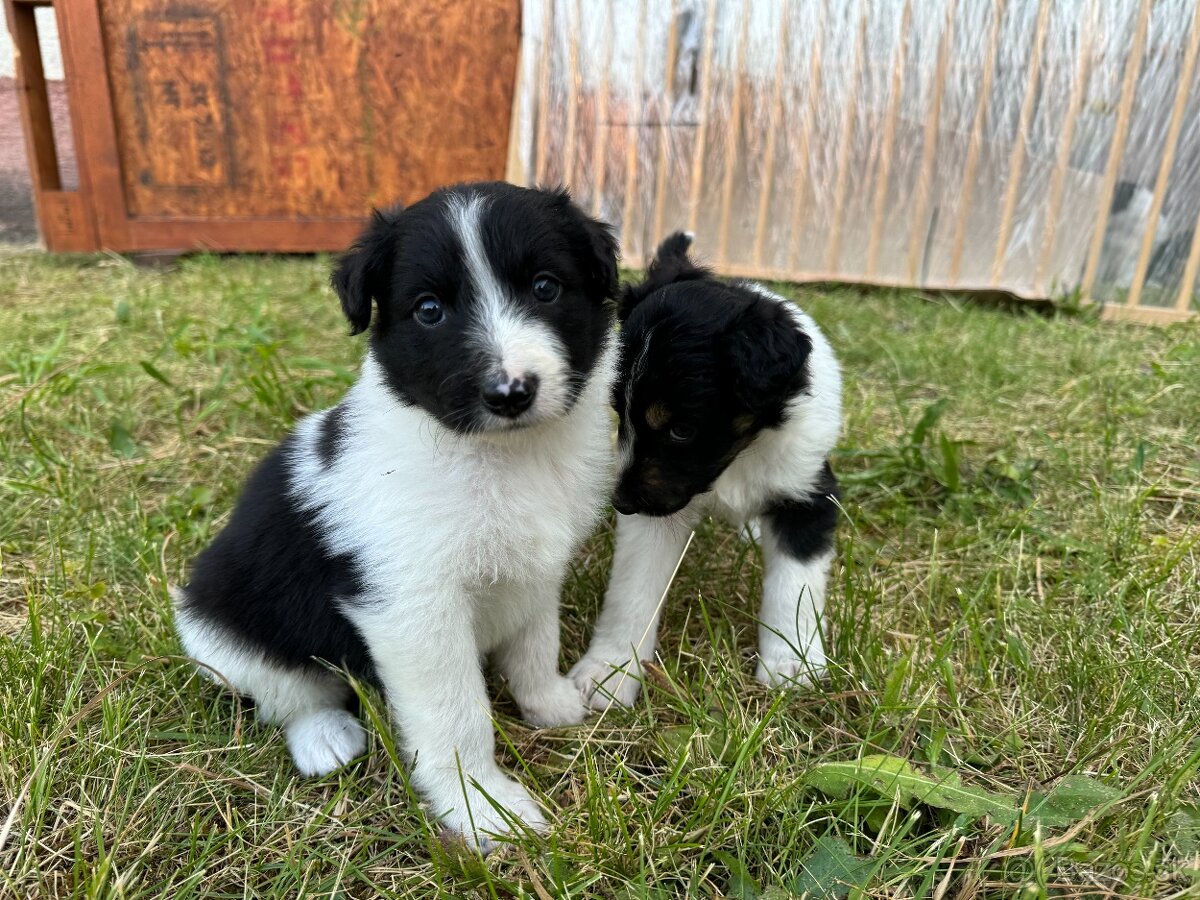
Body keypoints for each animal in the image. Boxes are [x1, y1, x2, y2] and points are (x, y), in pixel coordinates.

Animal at [175, 181, 619, 854]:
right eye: (429, 310)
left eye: (545, 287)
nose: (510, 392)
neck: (502, 457)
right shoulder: (411, 608)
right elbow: (458, 716)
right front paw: (482, 807)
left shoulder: (537, 570)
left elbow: (534, 643)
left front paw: (550, 704)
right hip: (224, 637)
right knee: (288, 695)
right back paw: (324, 738)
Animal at [571, 232, 844, 710]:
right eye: (619, 414)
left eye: (681, 429)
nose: (621, 504)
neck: (737, 457)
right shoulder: (658, 513)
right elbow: (632, 591)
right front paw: (610, 670)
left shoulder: (806, 495)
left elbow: (794, 587)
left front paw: (792, 664)